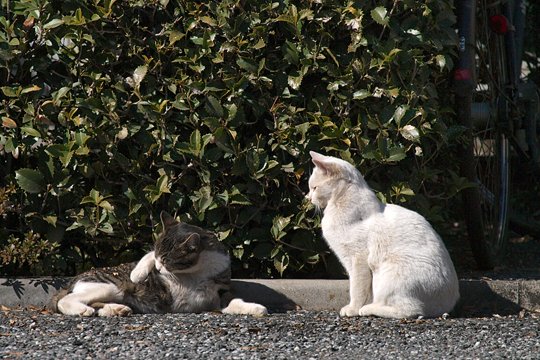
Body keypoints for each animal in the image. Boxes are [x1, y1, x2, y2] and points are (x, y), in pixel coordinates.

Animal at [50, 212, 268, 316]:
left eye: (167, 260)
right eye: (159, 257)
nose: (158, 267)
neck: (195, 271)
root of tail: (70, 281)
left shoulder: (219, 293)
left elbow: (234, 301)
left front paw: (255, 308)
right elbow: (145, 259)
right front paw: (141, 271)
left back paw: (116, 310)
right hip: (110, 286)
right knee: (66, 300)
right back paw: (82, 310)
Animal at [306, 150, 458, 320]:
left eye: (314, 188)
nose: (308, 198)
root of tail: (446, 306)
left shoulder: (358, 260)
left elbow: (356, 289)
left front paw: (353, 309)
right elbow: (362, 289)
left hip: (389, 273)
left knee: (411, 311)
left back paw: (367, 309)